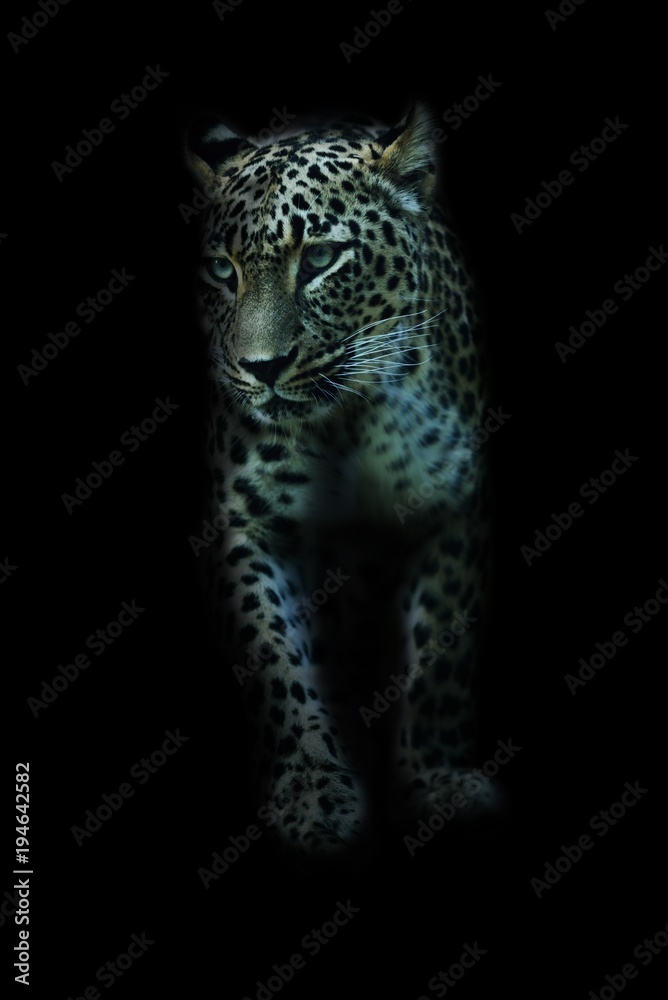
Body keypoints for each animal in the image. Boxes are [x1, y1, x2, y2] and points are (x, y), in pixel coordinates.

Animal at [185, 103, 503, 865]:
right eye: (222, 270)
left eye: (321, 260)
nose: (261, 368)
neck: (350, 420)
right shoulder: (247, 521)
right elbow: (271, 654)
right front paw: (313, 794)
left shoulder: (452, 507)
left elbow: (440, 655)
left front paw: (436, 781)